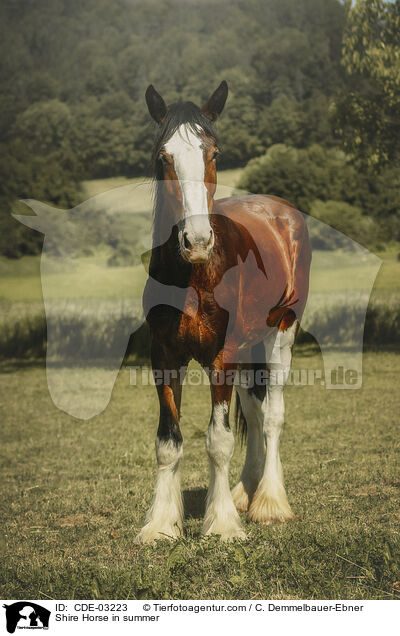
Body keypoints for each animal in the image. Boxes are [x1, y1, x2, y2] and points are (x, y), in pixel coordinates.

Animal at [138, 82, 312, 544]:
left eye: (213, 153)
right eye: (164, 156)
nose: (196, 240)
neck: (195, 274)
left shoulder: (220, 357)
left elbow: (218, 440)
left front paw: (222, 526)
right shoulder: (164, 357)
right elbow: (168, 441)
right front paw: (161, 524)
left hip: (279, 333)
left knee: (272, 416)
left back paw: (269, 502)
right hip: (249, 345)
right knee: (253, 408)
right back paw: (245, 493)